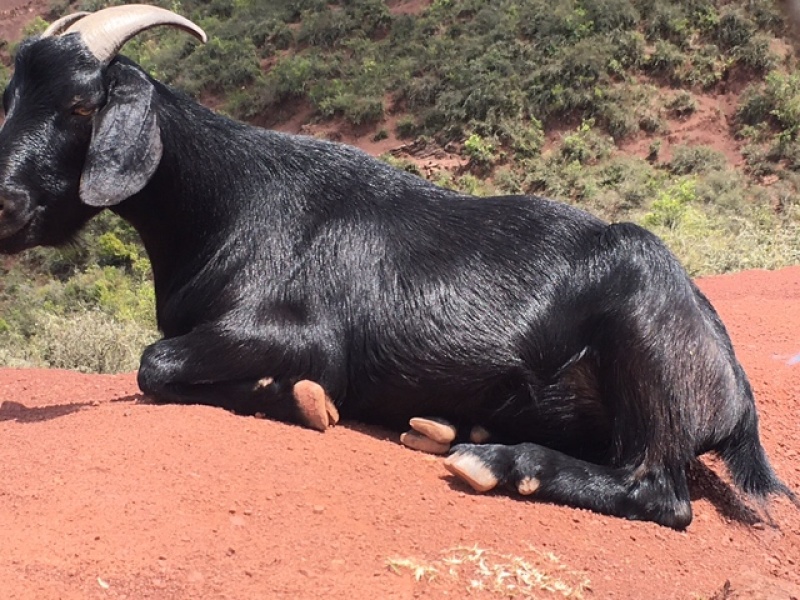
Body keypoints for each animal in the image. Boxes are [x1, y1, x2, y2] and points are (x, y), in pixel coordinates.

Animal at [0, 5, 792, 528]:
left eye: (81, 105)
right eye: (10, 99)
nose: (3, 203)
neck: (227, 202)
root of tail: (735, 393)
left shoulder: (307, 335)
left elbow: (156, 362)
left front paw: (297, 398)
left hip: (642, 319)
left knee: (660, 492)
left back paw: (504, 462)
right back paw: (456, 430)